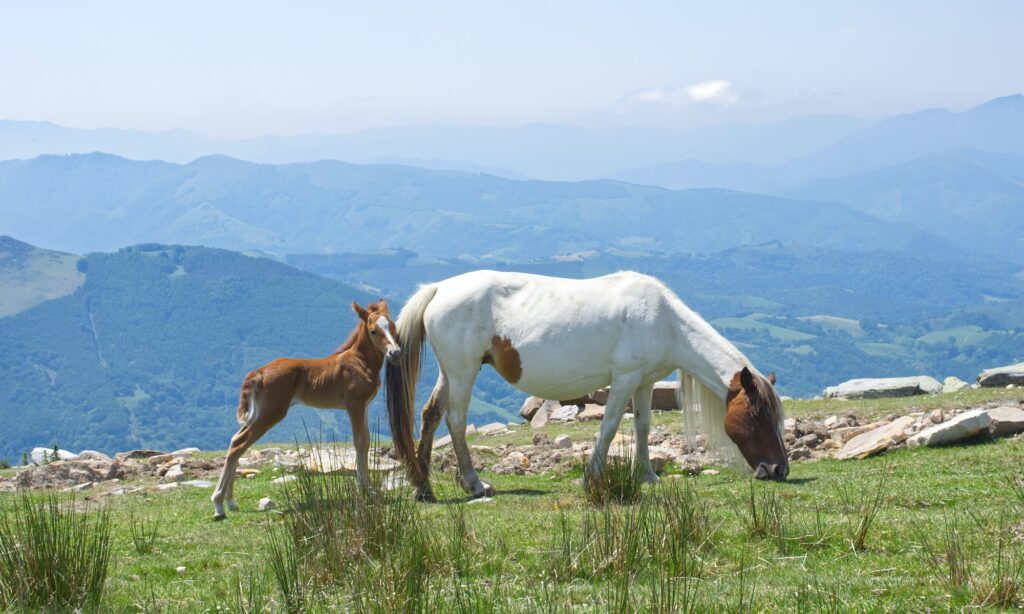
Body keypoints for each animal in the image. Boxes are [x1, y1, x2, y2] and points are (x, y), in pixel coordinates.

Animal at [211, 298, 399, 519]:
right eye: (373, 331)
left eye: (393, 326)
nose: (395, 352)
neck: (360, 361)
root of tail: (259, 372)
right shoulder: (354, 404)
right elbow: (360, 442)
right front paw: (366, 489)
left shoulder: (364, 405)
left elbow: (367, 441)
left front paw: (368, 487)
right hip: (272, 411)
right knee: (240, 443)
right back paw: (219, 505)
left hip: (259, 412)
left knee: (236, 439)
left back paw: (230, 502)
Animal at [387, 270, 786, 501]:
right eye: (758, 417)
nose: (779, 470)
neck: (665, 321)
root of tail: (439, 288)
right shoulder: (624, 380)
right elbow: (609, 429)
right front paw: (590, 478)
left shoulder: (645, 382)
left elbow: (643, 428)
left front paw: (648, 477)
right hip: (463, 371)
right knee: (454, 421)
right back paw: (474, 484)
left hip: (450, 372)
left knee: (430, 415)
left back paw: (423, 487)